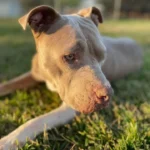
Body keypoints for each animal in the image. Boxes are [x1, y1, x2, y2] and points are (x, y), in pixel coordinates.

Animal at [0, 5, 143, 149]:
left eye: (103, 56)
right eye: (69, 56)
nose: (107, 95)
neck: (51, 77)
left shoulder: (68, 108)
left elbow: (37, 121)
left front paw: (9, 140)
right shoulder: (33, 74)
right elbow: (8, 84)